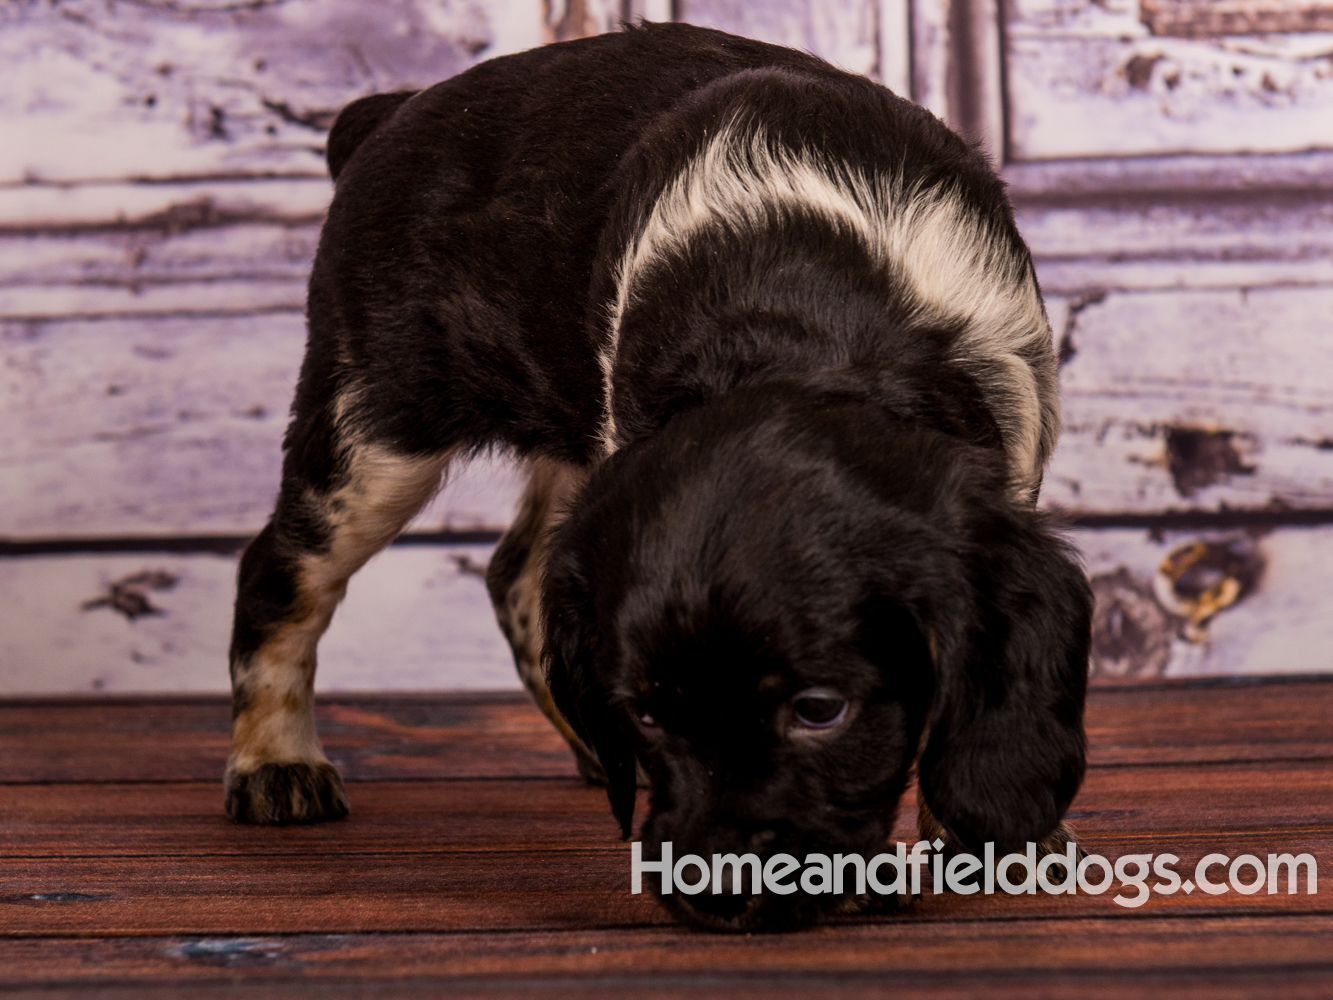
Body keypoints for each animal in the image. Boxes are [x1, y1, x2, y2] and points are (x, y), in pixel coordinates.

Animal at [221, 21, 1093, 933]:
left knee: (517, 572)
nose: (713, 896)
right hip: (376, 424)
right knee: (282, 572)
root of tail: (391, 113)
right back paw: (275, 764)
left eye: (819, 710)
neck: (819, 338)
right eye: (645, 710)